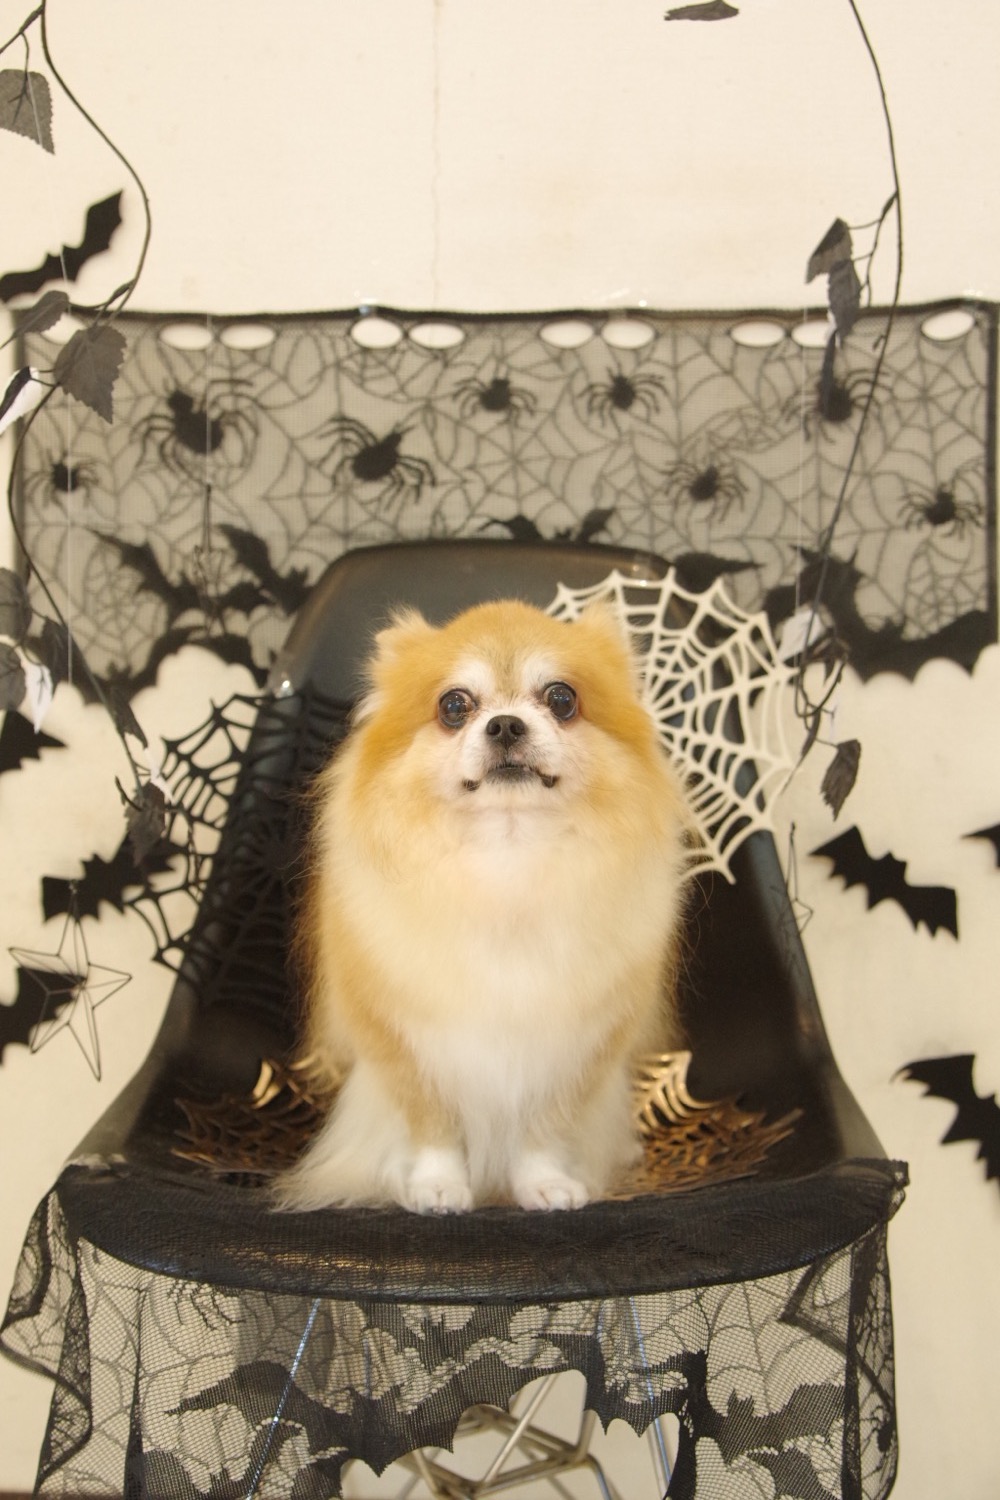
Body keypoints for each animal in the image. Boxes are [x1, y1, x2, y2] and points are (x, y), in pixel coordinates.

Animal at [274, 597, 689, 1213]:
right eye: (454, 706)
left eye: (561, 699)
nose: (506, 723)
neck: (507, 861)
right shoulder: (403, 1043)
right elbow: (433, 1126)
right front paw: (437, 1185)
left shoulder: (578, 1047)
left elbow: (545, 1128)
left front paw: (543, 1183)